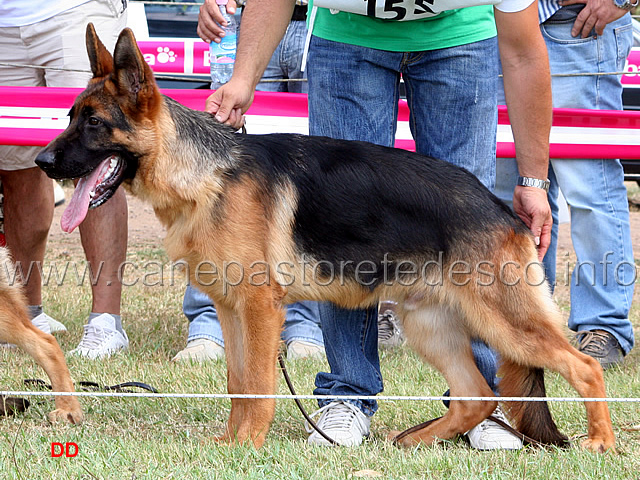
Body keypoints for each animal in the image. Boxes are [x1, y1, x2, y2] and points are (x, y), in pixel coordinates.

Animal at [36, 24, 616, 452]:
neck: (204, 173)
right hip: (431, 325)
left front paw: (248, 448)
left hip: (504, 321)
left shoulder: (260, 309)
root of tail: (503, 209)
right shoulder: (230, 308)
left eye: (93, 124)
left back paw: (600, 443)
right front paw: (230, 444)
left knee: (582, 368)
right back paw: (415, 441)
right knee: (476, 396)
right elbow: (238, 382)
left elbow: (259, 386)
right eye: (69, 117)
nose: (42, 162)